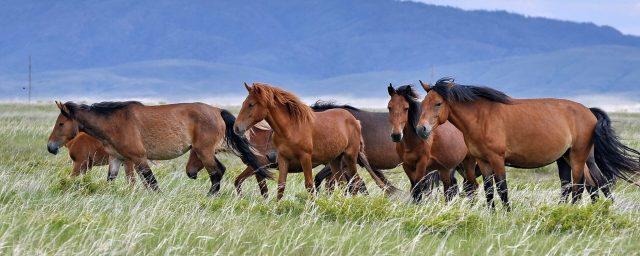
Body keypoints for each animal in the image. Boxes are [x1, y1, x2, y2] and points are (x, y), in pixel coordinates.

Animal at [50, 101, 268, 195]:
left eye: (60, 123)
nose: (50, 146)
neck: (114, 122)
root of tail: (217, 110)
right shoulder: (117, 158)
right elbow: (112, 179)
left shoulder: (138, 157)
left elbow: (151, 181)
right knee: (220, 170)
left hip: (204, 151)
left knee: (216, 173)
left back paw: (210, 196)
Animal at [234, 83, 390, 199]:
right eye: (244, 103)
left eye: (251, 104)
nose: (237, 128)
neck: (291, 128)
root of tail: (355, 120)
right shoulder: (282, 159)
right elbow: (280, 185)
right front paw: (277, 209)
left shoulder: (305, 158)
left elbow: (309, 185)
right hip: (335, 160)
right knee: (342, 183)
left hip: (350, 157)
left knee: (355, 183)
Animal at [416, 78, 640, 210]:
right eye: (423, 103)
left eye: (438, 103)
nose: (421, 129)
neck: (482, 118)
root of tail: (589, 111)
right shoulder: (483, 161)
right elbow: (488, 190)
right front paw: (491, 213)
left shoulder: (497, 160)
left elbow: (502, 188)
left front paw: (506, 214)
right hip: (573, 157)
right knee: (594, 182)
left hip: (577, 156)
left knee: (579, 185)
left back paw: (572, 211)